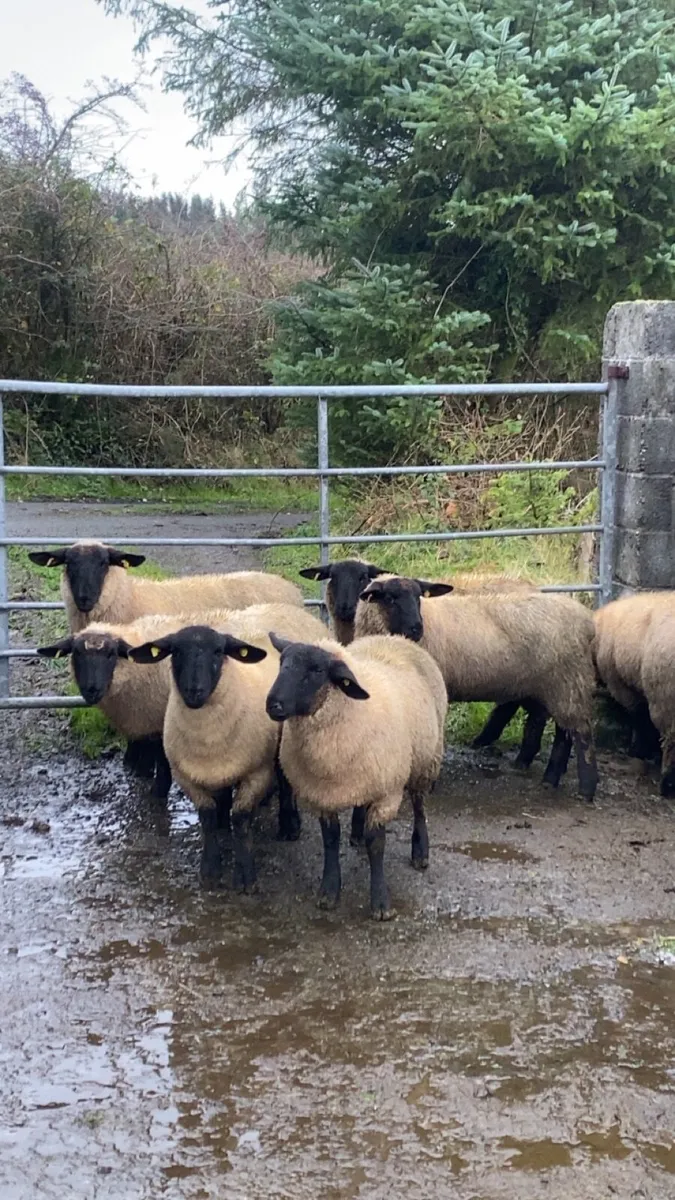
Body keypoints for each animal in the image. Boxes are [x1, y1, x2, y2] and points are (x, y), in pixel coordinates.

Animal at [127, 604, 328, 888]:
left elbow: (241, 818)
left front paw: (245, 875)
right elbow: (208, 817)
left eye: (218, 651)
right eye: (176, 651)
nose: (194, 691)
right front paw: (211, 867)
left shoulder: (256, 772)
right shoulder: (187, 776)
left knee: (284, 780)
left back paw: (289, 824)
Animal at [266, 632, 447, 920]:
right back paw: (358, 831)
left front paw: (381, 903)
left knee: (419, 806)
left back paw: (421, 852)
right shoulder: (323, 796)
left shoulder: (387, 794)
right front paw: (329, 892)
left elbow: (377, 845)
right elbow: (330, 840)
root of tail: (394, 637)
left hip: (426, 761)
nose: (273, 704)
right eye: (282, 662)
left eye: (317, 670)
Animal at [355, 575, 598, 800]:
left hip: (569, 682)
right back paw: (544, 773)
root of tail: (587, 620)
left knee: (580, 733)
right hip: (547, 685)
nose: (417, 628)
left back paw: (584, 789)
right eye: (389, 598)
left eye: (419, 597)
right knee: (556, 728)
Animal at [593, 592, 675, 796]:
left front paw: (638, 750)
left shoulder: (620, 685)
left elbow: (638, 718)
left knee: (671, 740)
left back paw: (667, 784)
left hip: (666, 698)